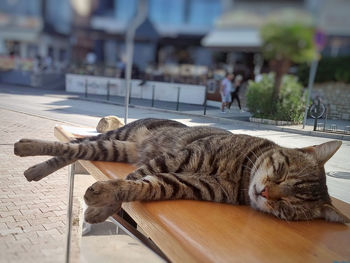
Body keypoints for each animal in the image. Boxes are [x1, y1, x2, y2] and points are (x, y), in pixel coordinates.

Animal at [13, 118, 350, 224]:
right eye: (280, 171)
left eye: (287, 208)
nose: (265, 192)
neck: (241, 177)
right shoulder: (175, 159)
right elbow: (132, 179)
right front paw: (101, 207)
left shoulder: (181, 182)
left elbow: (138, 186)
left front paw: (103, 206)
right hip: (115, 138)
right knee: (70, 147)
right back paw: (26, 149)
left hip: (114, 148)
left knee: (73, 151)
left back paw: (34, 170)